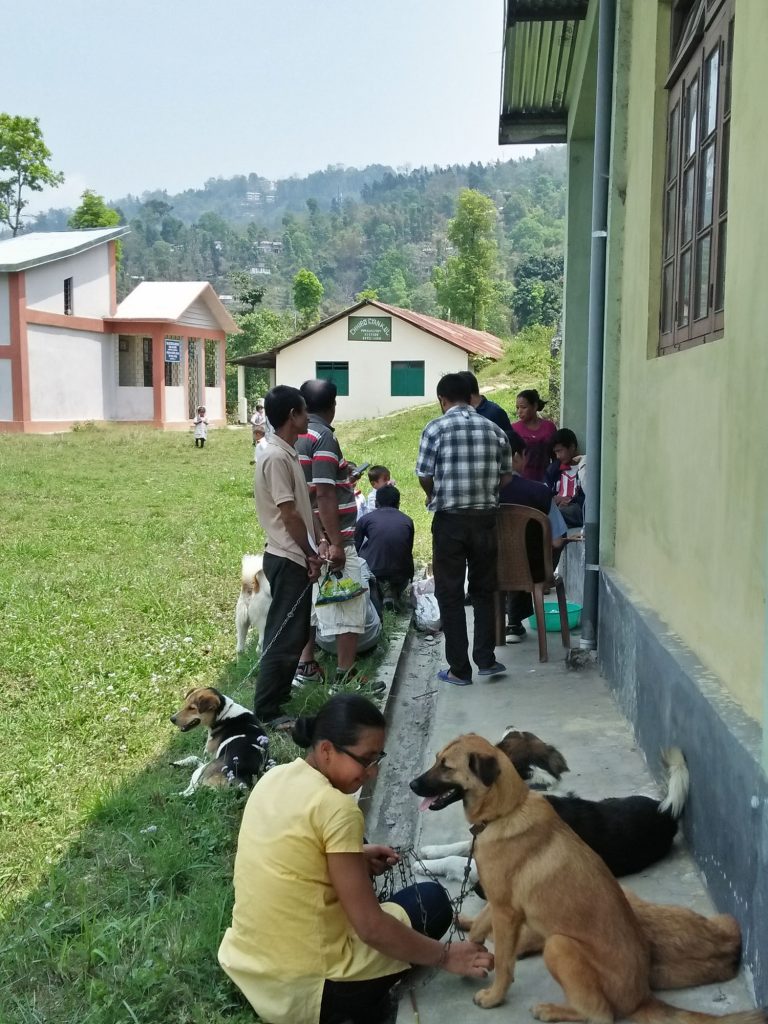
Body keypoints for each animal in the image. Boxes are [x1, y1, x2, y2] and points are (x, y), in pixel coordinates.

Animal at [421, 729, 692, 888]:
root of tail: (664, 811)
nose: (510, 724)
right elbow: (461, 845)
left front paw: (424, 866)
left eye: (446, 766)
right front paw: (429, 851)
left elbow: (457, 860)